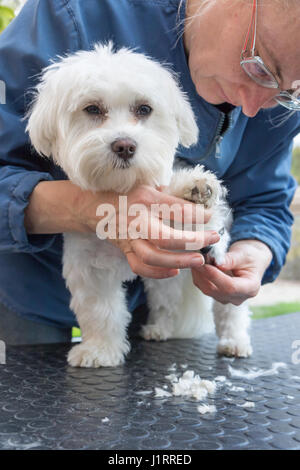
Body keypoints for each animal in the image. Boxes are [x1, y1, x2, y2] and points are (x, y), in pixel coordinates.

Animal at [25, 44, 252, 368]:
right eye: (92, 109)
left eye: (144, 109)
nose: (124, 145)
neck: (124, 189)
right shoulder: (90, 267)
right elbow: (100, 310)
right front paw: (100, 350)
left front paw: (192, 189)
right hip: (164, 277)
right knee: (167, 301)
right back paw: (160, 329)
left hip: (220, 269)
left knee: (230, 308)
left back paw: (235, 340)